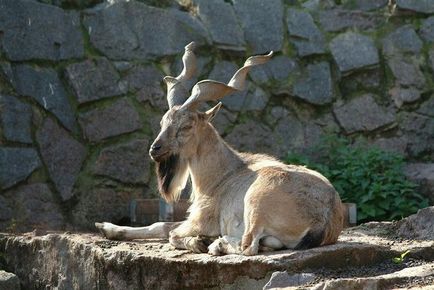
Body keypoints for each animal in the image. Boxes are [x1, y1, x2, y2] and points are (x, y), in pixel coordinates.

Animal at [96, 42, 344, 255]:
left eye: (186, 126)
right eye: (163, 122)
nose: (155, 149)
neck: (221, 175)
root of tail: (324, 216)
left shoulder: (200, 220)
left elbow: (170, 231)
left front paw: (198, 242)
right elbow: (162, 226)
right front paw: (107, 227)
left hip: (255, 202)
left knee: (248, 245)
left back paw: (217, 244)